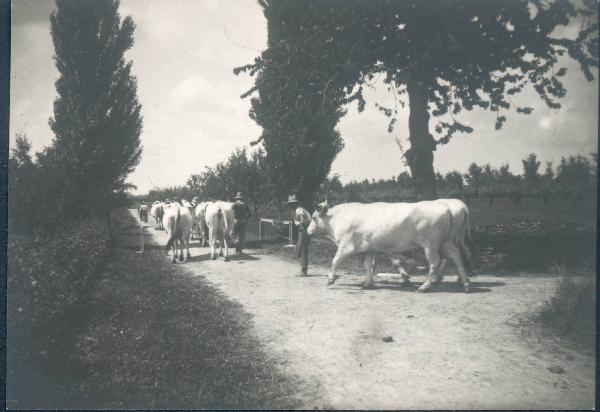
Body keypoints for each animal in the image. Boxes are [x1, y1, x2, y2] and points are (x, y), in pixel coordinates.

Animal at [308, 200, 472, 292]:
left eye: (314, 217)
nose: (307, 230)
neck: (337, 218)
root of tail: (446, 207)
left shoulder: (346, 246)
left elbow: (335, 260)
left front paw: (330, 279)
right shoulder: (369, 249)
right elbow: (368, 265)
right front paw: (368, 283)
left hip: (431, 244)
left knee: (434, 262)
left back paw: (424, 287)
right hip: (446, 241)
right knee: (456, 255)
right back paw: (465, 284)